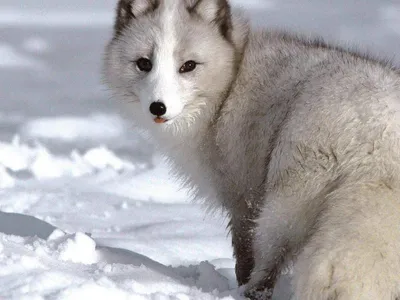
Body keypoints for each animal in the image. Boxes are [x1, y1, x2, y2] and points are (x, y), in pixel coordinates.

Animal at [104, 1, 400, 298]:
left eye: (188, 66)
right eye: (144, 63)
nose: (158, 107)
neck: (230, 83)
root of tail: (380, 136)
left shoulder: (243, 197)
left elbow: (244, 254)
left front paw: (240, 283)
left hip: (284, 204)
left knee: (269, 262)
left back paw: (251, 291)